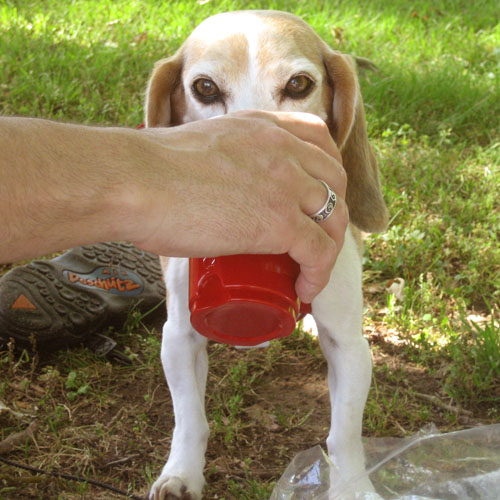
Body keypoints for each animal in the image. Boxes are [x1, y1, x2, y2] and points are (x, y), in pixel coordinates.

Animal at [145, 10, 386, 500]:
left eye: (298, 84)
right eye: (204, 88)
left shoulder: (349, 344)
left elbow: (345, 434)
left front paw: (353, 486)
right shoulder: (180, 334)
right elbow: (189, 419)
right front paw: (182, 474)